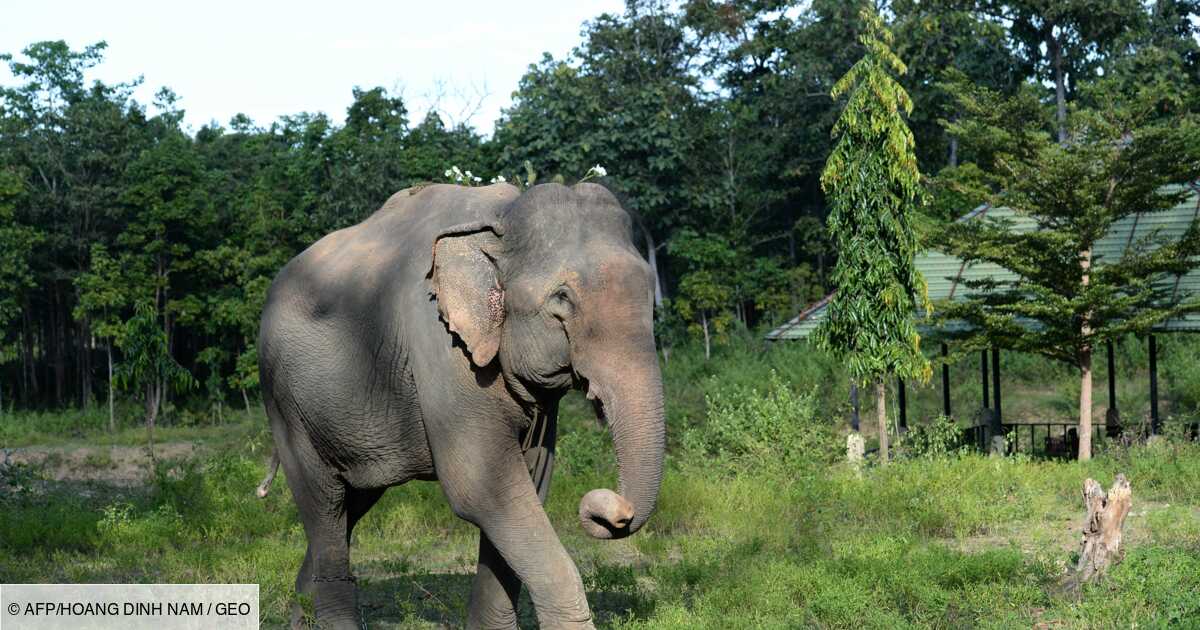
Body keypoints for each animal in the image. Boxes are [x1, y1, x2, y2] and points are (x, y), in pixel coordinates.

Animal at [256, 178, 667, 624]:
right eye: (562, 298)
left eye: (650, 295)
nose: (613, 510)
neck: (502, 218)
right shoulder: (440, 346)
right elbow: (480, 488)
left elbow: (530, 482)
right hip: (286, 405)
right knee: (326, 506)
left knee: (348, 506)